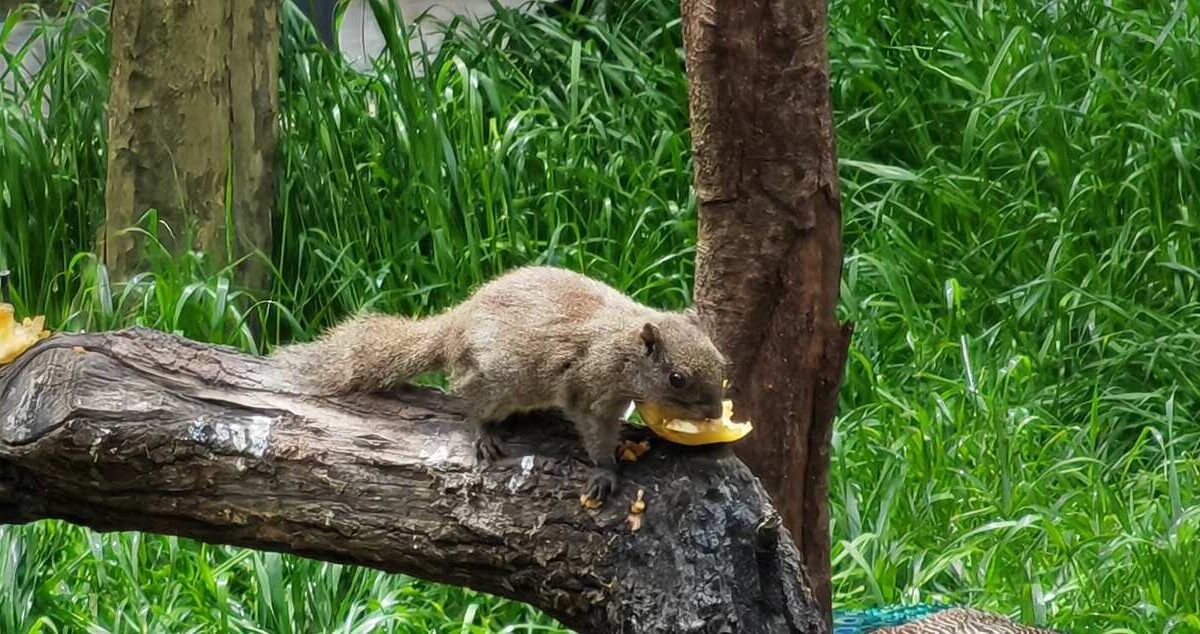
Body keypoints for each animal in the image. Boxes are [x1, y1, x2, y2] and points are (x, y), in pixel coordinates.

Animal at [274, 265, 724, 501]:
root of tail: (455, 325)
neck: (625, 346)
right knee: (471, 403)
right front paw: (605, 471)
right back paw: (483, 433)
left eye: (721, 361)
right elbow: (594, 431)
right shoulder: (590, 386)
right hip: (496, 383)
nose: (716, 412)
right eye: (677, 378)